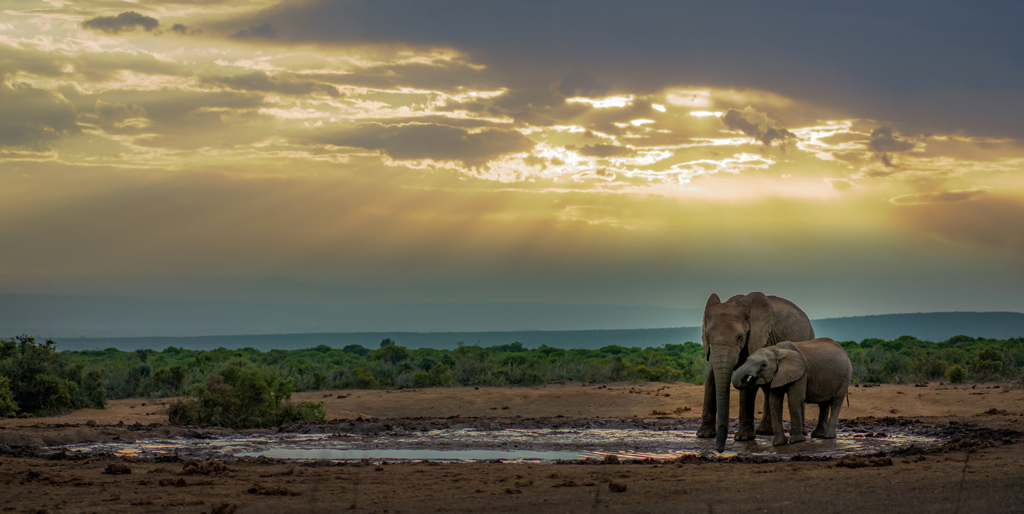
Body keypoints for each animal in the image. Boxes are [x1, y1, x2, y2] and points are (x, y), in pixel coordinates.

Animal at [696, 290, 815, 452]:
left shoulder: (758, 338)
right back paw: (764, 432)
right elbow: (711, 378)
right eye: (707, 337)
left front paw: (743, 438)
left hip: (808, 338)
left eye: (740, 337)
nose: (720, 450)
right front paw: (704, 435)